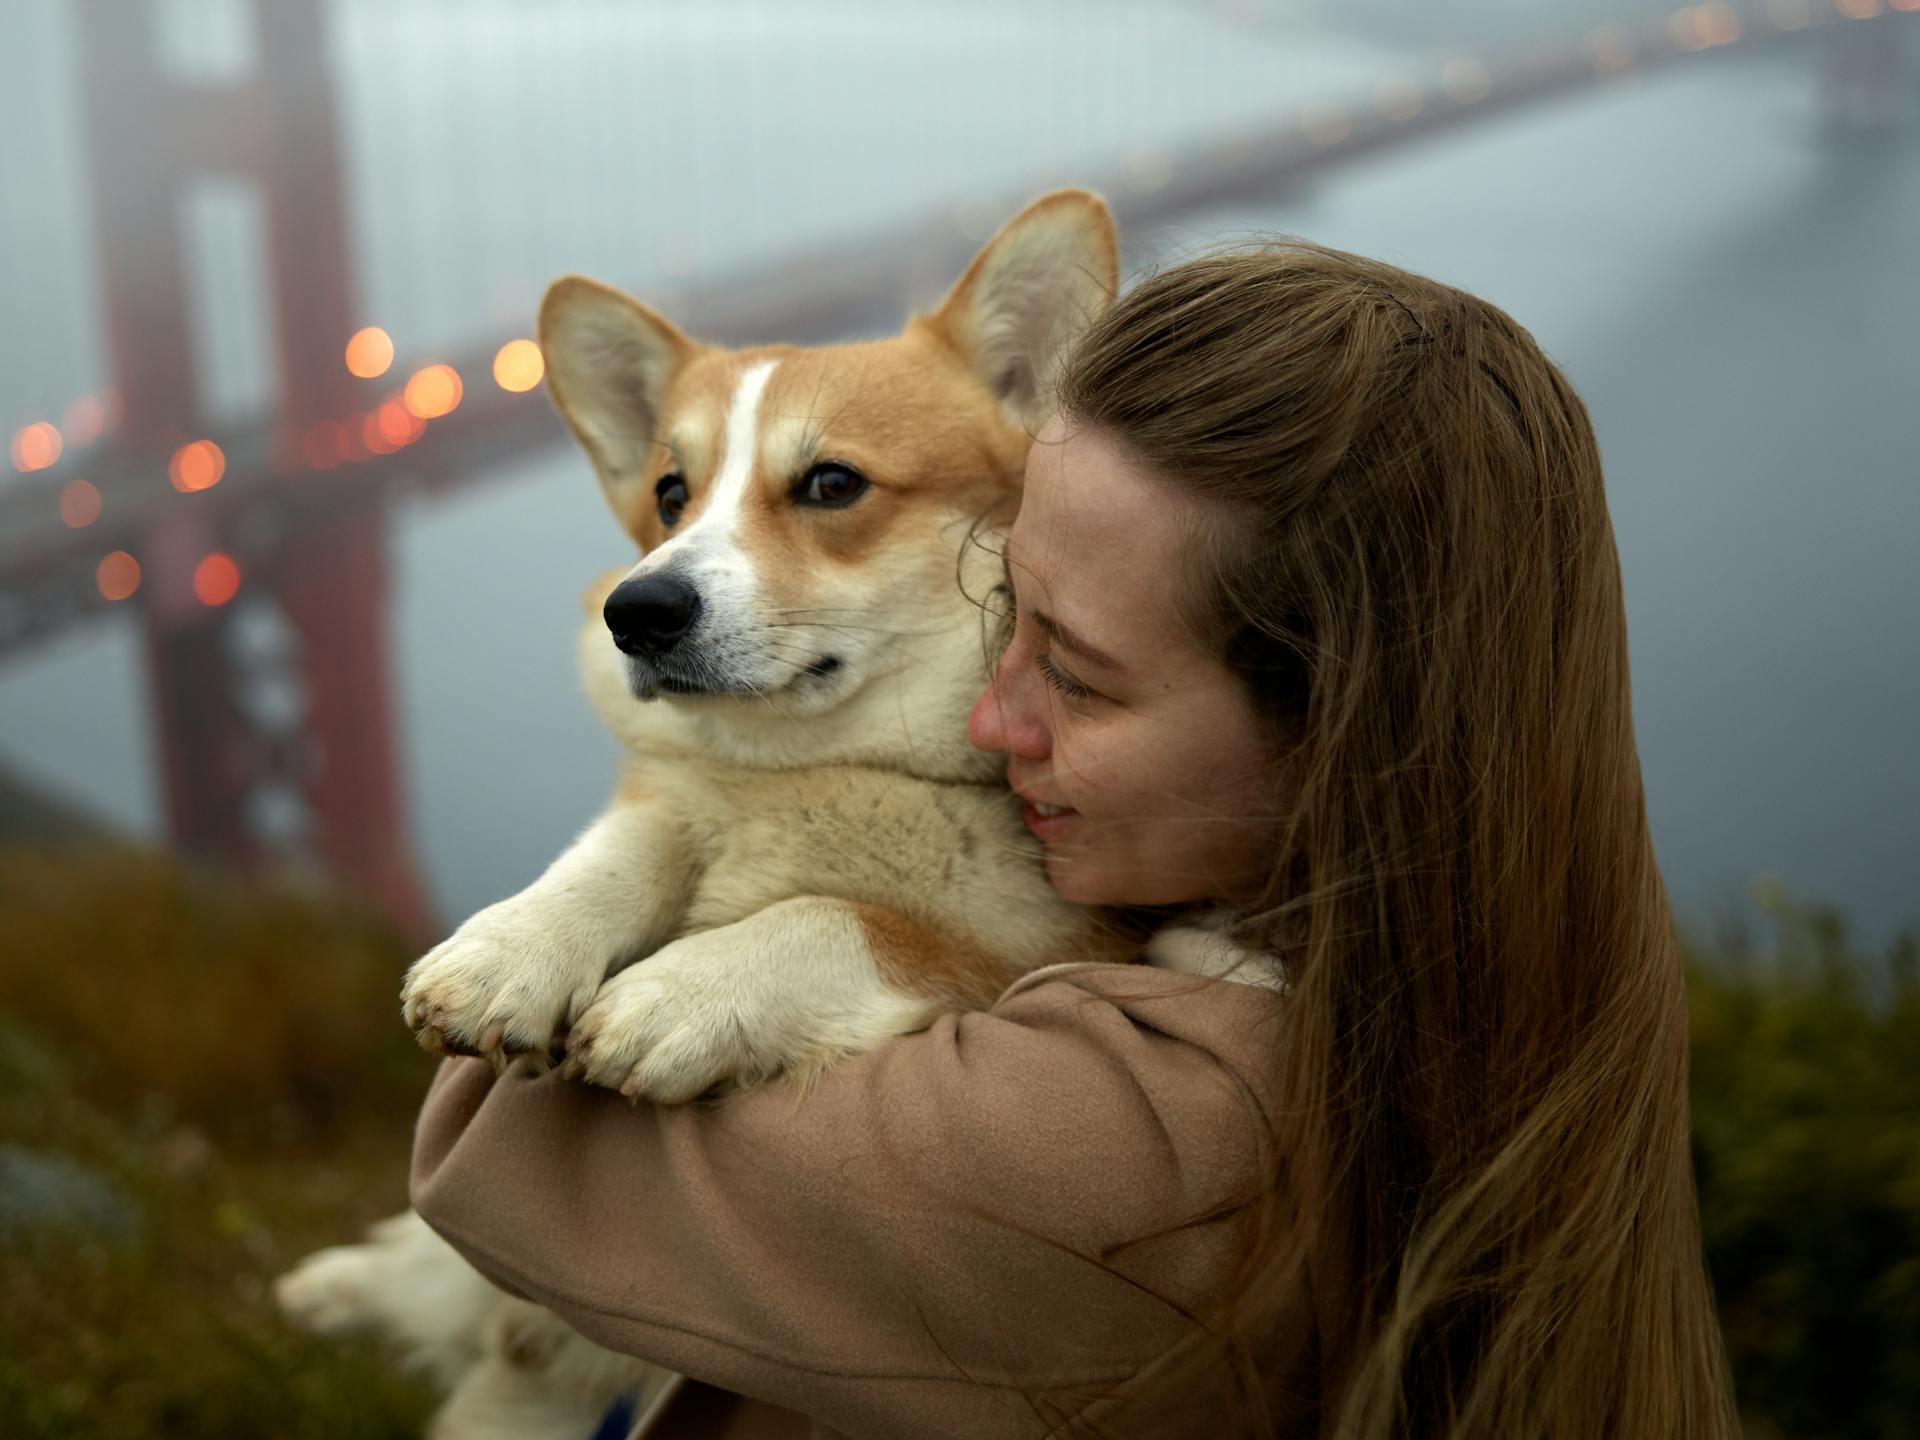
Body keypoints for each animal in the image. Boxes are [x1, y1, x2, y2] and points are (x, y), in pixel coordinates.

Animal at [272, 194, 1121, 1440]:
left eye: (831, 485)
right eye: (672, 495)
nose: (638, 610)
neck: (819, 767)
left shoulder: (1043, 950)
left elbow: (841, 916)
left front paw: (681, 994)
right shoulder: (675, 805)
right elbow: (626, 848)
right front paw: (509, 955)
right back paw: (336, 1289)